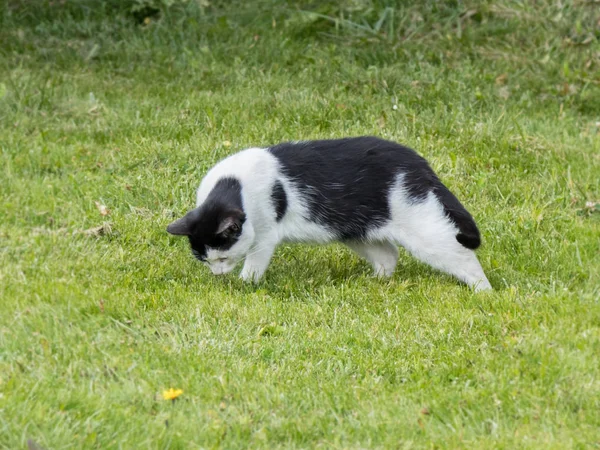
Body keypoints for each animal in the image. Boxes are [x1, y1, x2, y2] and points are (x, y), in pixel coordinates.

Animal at [168, 136, 492, 292]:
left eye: (222, 258)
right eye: (205, 260)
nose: (218, 275)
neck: (235, 185)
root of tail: (418, 163)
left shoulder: (265, 236)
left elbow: (255, 264)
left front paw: (245, 284)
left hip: (422, 227)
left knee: (461, 254)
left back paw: (483, 290)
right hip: (356, 231)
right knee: (389, 254)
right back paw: (374, 283)